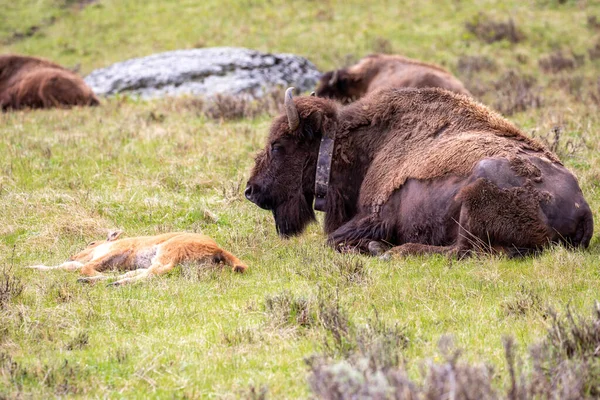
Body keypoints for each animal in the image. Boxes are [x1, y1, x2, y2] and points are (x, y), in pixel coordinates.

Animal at [244, 86, 592, 258]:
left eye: (278, 145)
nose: (251, 190)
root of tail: (583, 209)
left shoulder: (374, 217)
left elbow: (333, 241)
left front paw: (372, 247)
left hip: (475, 196)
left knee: (462, 252)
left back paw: (392, 251)